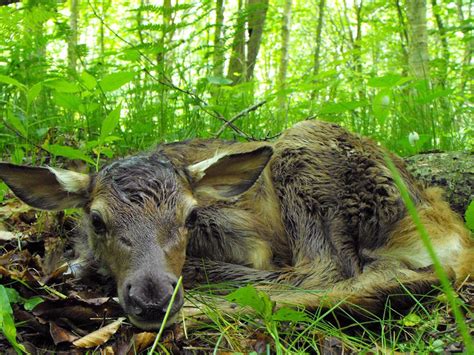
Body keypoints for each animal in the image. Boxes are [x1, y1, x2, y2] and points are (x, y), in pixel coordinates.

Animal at [0, 121, 472, 330]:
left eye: (191, 216)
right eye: (97, 220)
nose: (154, 301)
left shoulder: (250, 242)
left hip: (304, 147)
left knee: (323, 273)